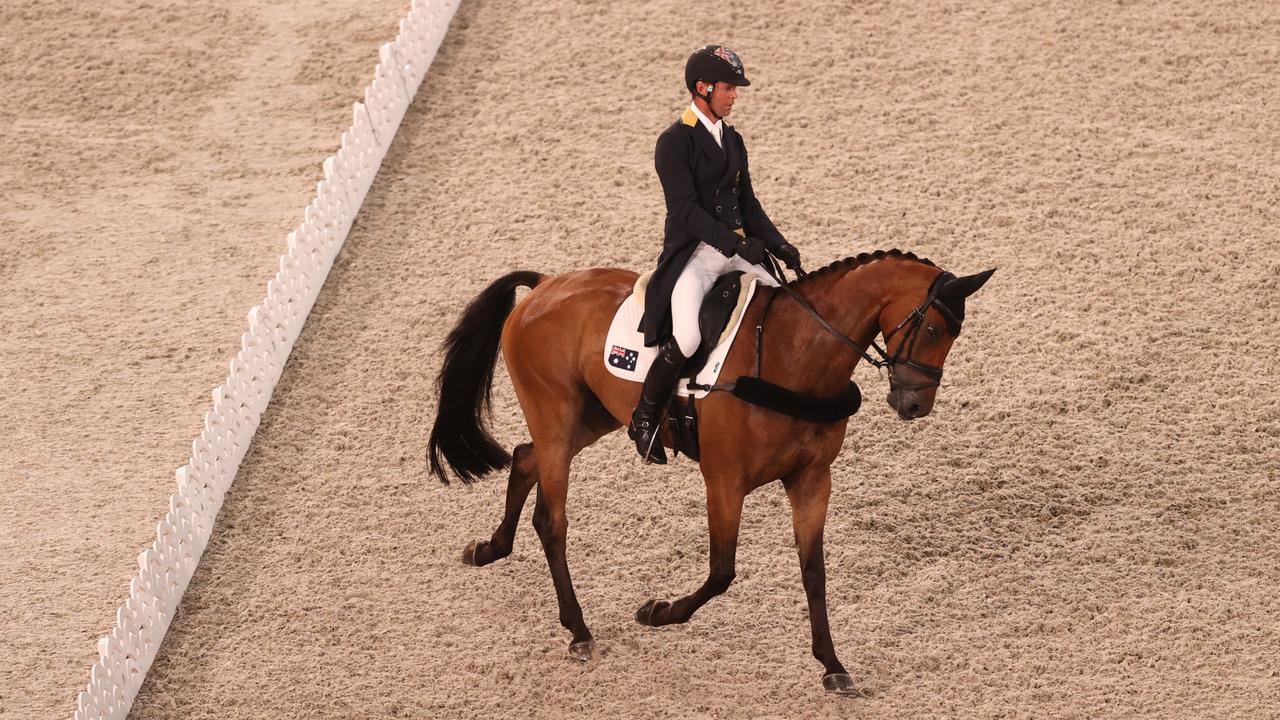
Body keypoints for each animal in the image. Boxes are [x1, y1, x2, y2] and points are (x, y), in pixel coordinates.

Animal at [424, 249, 993, 691]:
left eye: (954, 334)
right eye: (933, 327)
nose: (914, 404)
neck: (790, 356)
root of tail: (545, 286)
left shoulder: (812, 480)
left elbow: (814, 572)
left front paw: (832, 665)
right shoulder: (724, 480)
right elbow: (722, 572)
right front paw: (658, 612)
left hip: (593, 417)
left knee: (524, 460)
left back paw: (490, 549)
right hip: (557, 419)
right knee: (552, 520)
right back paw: (579, 630)